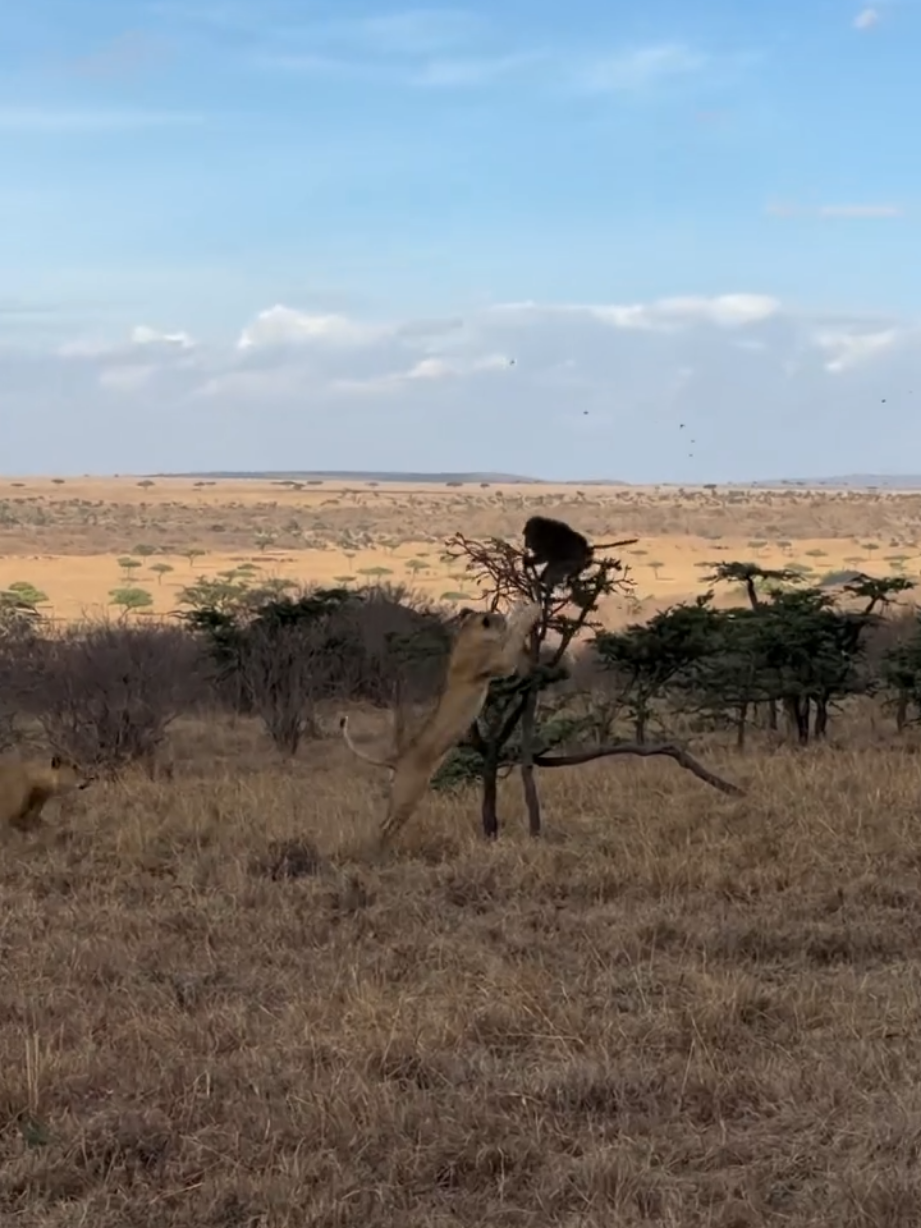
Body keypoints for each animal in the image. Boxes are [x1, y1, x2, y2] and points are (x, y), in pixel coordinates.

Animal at [341, 600, 541, 847]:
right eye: (496, 619)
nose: (500, 618)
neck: (468, 634)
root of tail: (399, 757)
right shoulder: (500, 663)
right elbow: (514, 635)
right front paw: (530, 611)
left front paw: (521, 608)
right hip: (410, 791)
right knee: (387, 825)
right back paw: (383, 848)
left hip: (401, 792)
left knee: (385, 821)